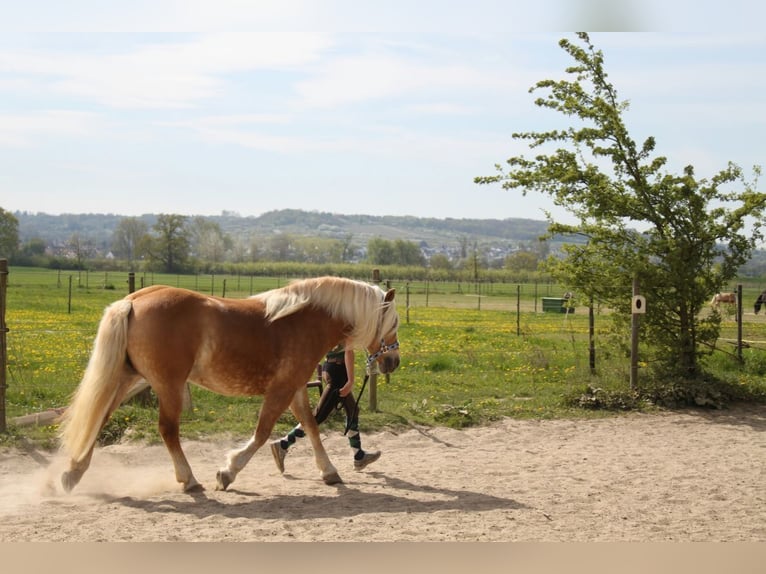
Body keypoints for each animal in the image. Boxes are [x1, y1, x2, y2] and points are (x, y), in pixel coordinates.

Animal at [57, 278, 402, 496]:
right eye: (395, 322)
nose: (393, 361)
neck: (302, 321)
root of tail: (133, 300)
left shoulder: (296, 388)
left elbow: (311, 426)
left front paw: (329, 472)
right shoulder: (281, 389)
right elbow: (262, 433)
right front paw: (227, 472)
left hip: (127, 378)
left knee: (98, 417)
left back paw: (72, 474)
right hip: (168, 385)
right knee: (167, 430)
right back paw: (189, 480)